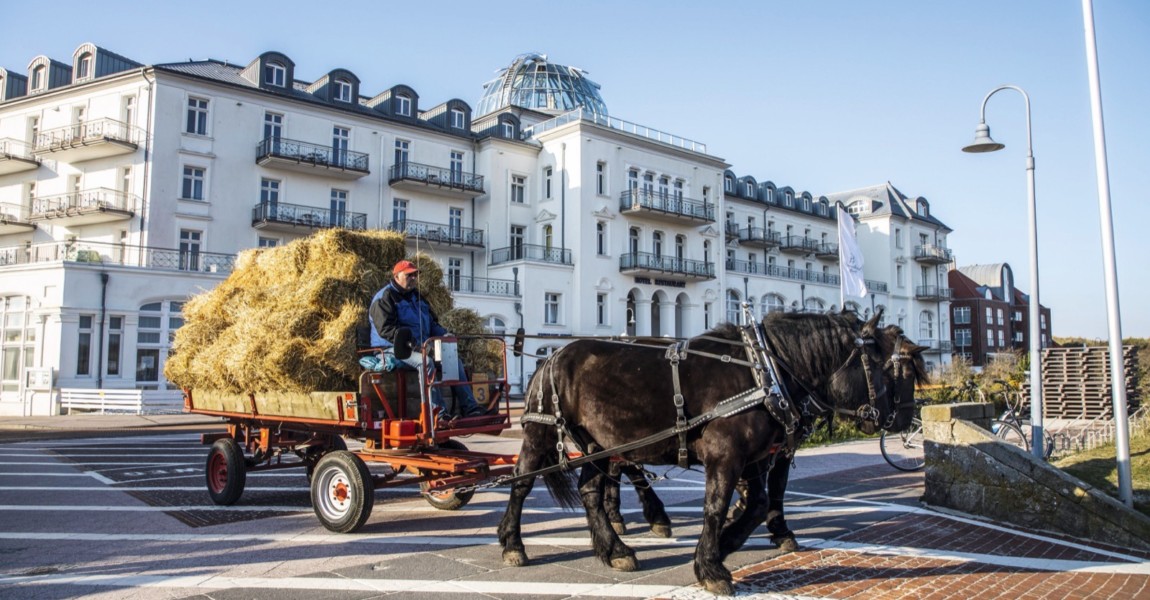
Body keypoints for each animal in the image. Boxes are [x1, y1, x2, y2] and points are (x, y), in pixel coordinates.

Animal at [496, 310, 924, 588]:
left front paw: (727, 543)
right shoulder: (726, 454)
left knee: (591, 490)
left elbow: (759, 501)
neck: (765, 370)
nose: (907, 418)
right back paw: (513, 543)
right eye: (895, 369)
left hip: (598, 443)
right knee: (522, 483)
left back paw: (615, 548)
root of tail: (550, 356)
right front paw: (711, 566)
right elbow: (717, 506)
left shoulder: (755, 455)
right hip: (541, 434)